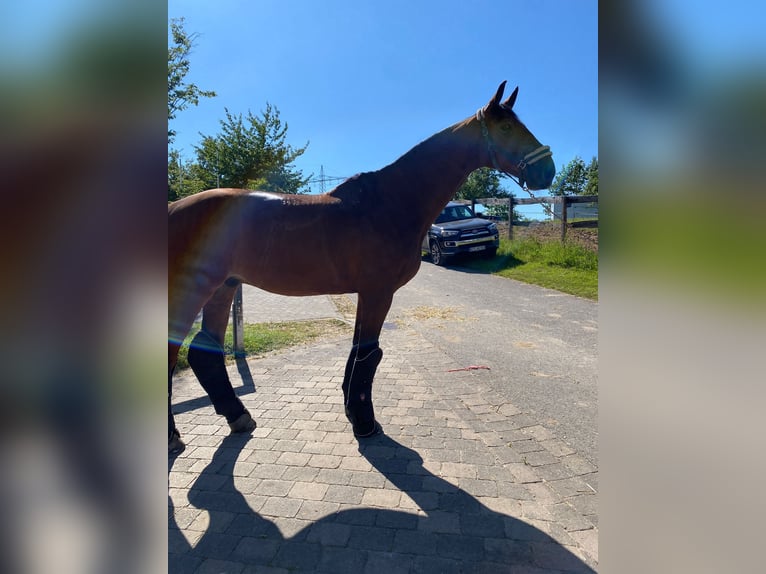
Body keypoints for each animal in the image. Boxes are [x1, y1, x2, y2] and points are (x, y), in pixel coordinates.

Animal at [168, 81, 556, 454]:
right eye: (505, 127)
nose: (547, 171)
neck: (390, 202)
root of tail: (173, 208)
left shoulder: (365, 294)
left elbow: (360, 353)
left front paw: (353, 412)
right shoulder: (378, 292)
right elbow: (369, 355)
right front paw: (365, 423)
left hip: (223, 287)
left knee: (204, 352)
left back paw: (239, 416)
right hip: (193, 289)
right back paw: (173, 437)